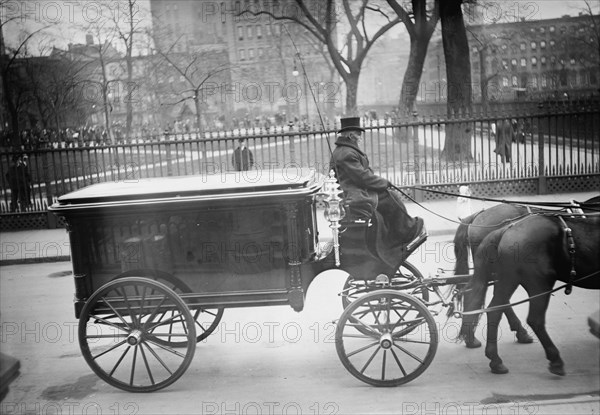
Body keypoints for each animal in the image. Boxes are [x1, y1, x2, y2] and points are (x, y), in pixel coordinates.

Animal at [462, 213, 596, 376]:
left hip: (507, 279)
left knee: (494, 308)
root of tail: (507, 229)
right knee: (534, 319)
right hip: (539, 283)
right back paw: (554, 359)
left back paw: (494, 358)